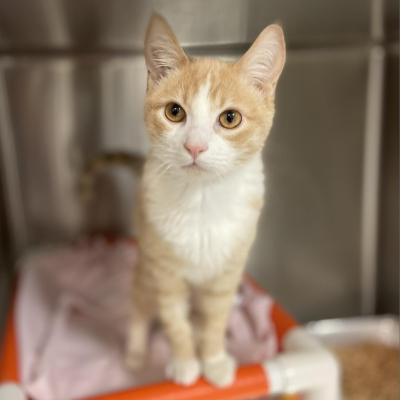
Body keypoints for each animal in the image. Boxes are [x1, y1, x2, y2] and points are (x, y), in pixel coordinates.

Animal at [126, 14, 286, 386]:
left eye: (230, 118)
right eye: (174, 112)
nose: (195, 147)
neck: (202, 199)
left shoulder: (228, 271)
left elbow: (215, 318)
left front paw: (213, 360)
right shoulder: (165, 271)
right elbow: (174, 320)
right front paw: (185, 362)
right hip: (145, 267)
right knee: (139, 304)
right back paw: (136, 352)